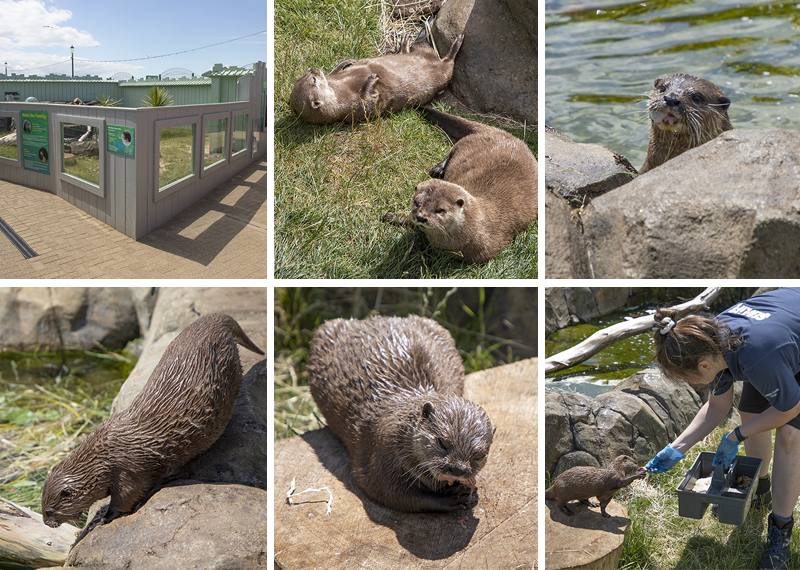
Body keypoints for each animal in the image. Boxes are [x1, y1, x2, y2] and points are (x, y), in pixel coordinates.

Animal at [41, 313, 264, 529]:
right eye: (43, 507)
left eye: (50, 511)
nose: (45, 522)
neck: (104, 457)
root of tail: (210, 322)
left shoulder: (128, 470)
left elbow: (125, 498)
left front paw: (103, 518)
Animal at [289, 35, 463, 124]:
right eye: (313, 79)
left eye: (304, 75)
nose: (314, 69)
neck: (340, 90)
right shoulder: (353, 109)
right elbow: (370, 102)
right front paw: (371, 80)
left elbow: (337, 70)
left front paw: (346, 62)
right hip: (442, 74)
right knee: (449, 63)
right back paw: (457, 43)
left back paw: (404, 44)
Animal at [306, 315, 495, 513]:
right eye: (442, 443)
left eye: (478, 455)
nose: (458, 469)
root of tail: (375, 318)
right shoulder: (383, 451)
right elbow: (390, 492)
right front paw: (451, 499)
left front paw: (470, 491)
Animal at [382, 107, 537, 263]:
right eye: (416, 202)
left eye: (440, 210)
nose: (421, 217)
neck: (476, 225)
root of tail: (503, 133)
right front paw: (394, 217)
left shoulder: (486, 250)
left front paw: (424, 251)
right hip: (464, 143)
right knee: (452, 151)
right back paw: (438, 169)